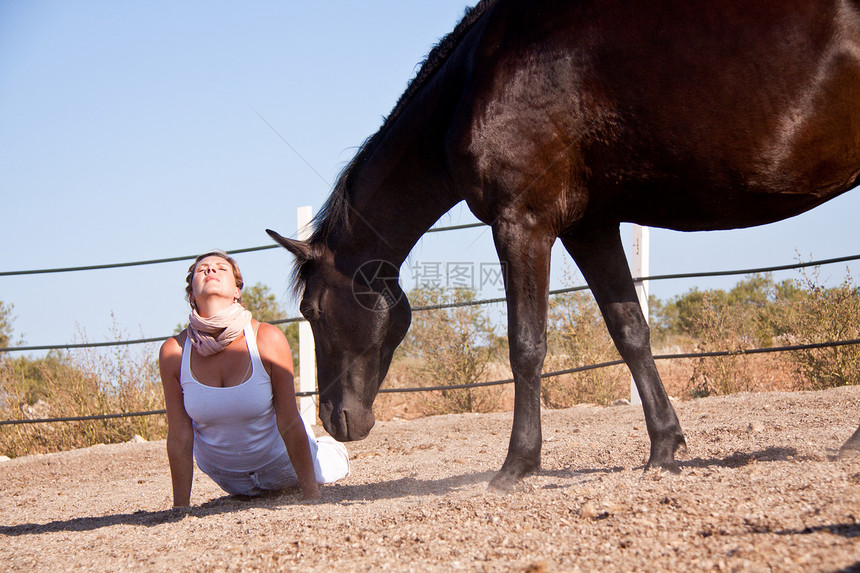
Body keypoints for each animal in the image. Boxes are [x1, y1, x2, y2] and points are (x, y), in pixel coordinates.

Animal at [268, 0, 860, 488]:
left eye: (312, 310)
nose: (334, 420)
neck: (476, 78)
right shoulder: (589, 226)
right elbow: (630, 332)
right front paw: (664, 449)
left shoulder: (522, 224)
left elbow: (526, 346)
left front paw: (517, 466)